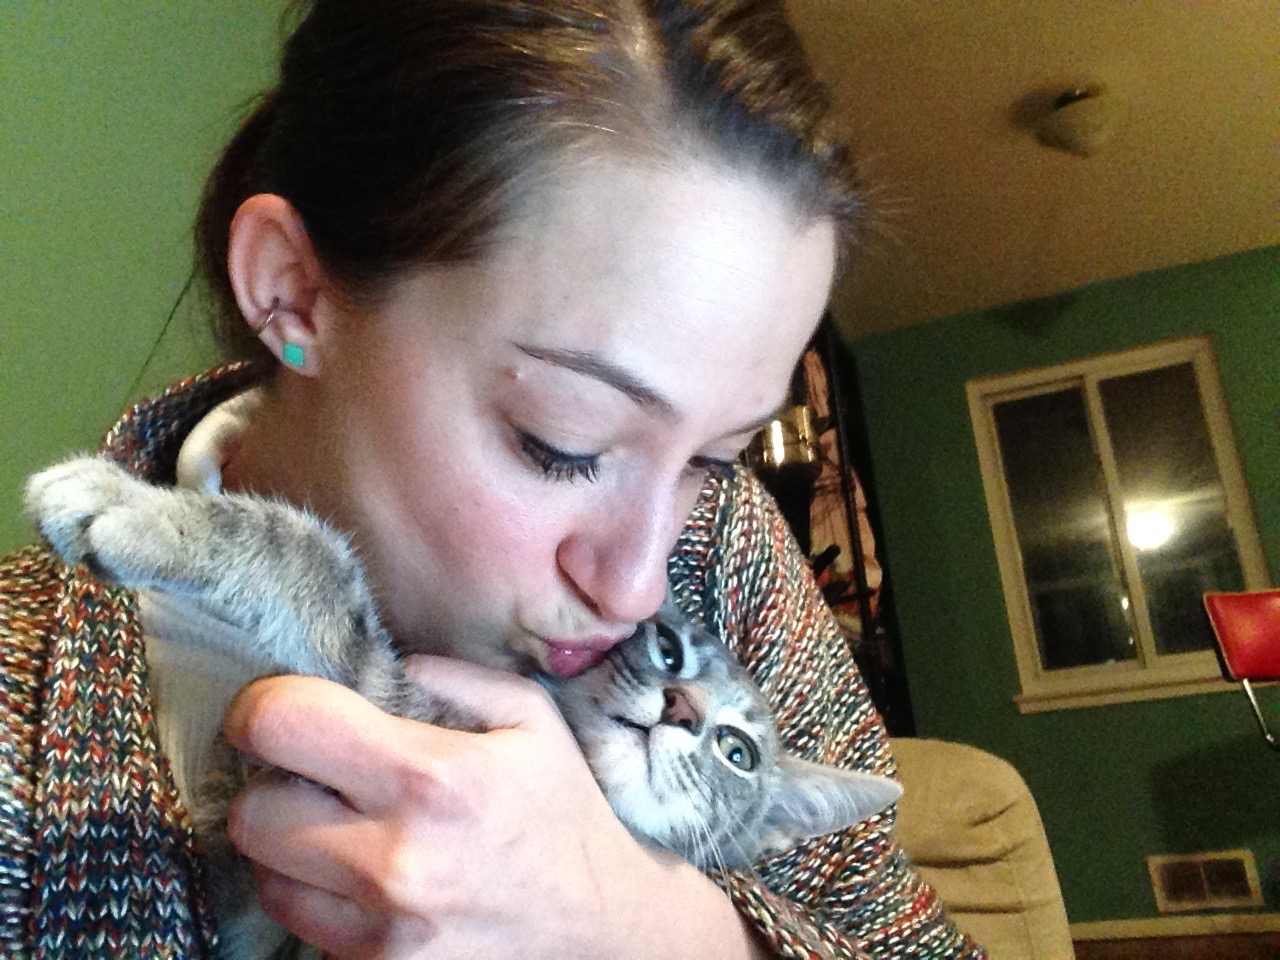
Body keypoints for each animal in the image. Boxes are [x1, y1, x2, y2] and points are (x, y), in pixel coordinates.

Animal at [22, 455, 901, 960]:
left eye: (738, 753)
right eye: (669, 648)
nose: (681, 707)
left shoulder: (397, 699)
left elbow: (313, 555)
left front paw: (137, 511)